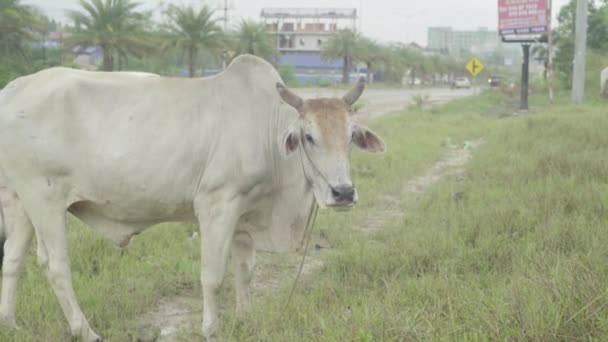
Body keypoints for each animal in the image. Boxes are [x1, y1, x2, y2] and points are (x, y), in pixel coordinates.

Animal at [0, 54, 382, 340]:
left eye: (351, 136)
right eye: (308, 136)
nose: (343, 192)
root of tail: (15, 88)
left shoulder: (244, 214)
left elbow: (245, 271)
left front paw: (246, 320)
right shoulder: (216, 204)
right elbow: (212, 275)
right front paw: (211, 329)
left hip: (18, 200)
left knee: (12, 260)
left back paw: (10, 324)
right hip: (44, 198)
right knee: (55, 265)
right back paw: (85, 331)